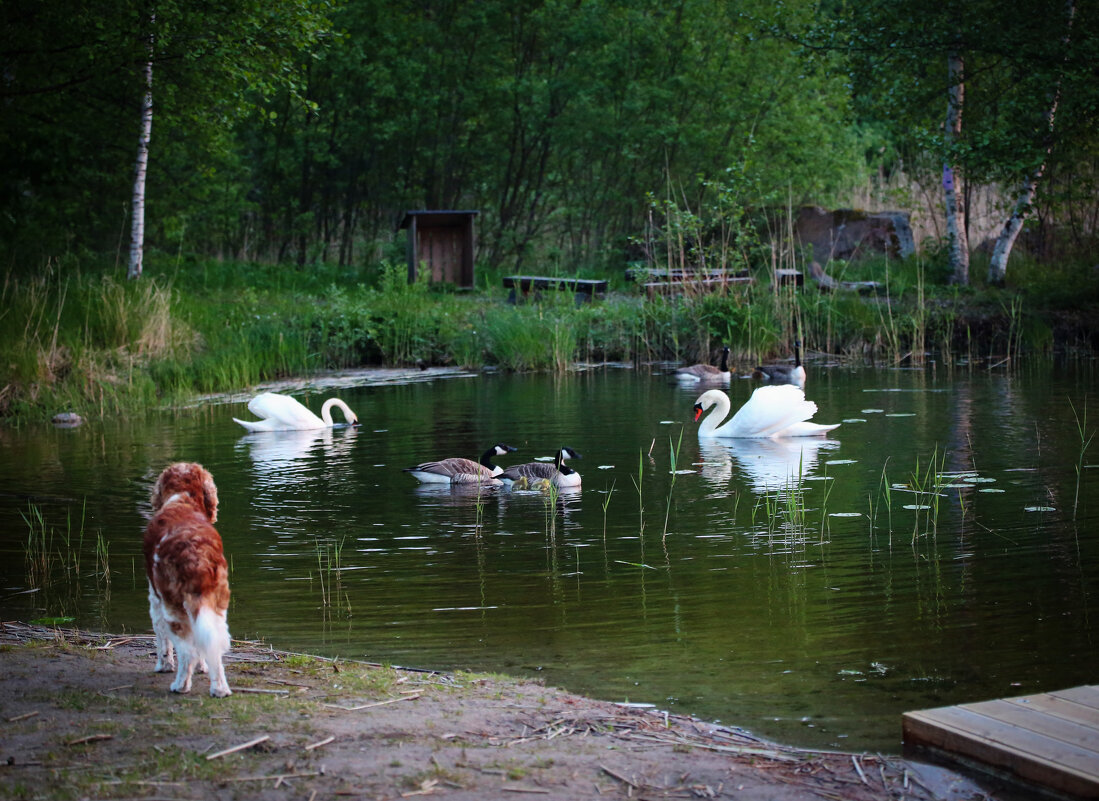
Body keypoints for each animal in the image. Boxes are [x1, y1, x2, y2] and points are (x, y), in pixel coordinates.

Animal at [143, 461, 231, 694]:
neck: (183, 499)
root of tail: (195, 554)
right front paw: (202, 668)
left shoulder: (155, 600)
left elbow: (163, 642)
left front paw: (163, 665)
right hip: (217, 606)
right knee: (214, 646)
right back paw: (219, 689)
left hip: (173, 608)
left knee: (186, 652)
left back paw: (180, 685)